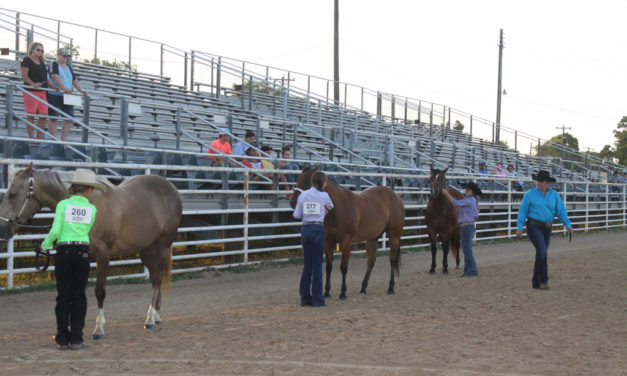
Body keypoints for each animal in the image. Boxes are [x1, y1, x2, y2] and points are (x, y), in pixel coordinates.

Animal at [0, 164, 183, 338]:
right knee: (154, 278)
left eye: (12, 194)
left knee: (158, 279)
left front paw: (99, 328)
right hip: (146, 250)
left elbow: (99, 292)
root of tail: (170, 188)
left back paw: (151, 318)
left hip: (162, 246)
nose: (3, 229)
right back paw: (156, 315)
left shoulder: (103, 256)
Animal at [290, 166, 408, 298]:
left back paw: (391, 287)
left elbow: (343, 267)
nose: (292, 202)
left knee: (392, 259)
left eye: (307, 182)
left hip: (394, 235)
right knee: (371, 261)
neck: (338, 208)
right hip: (372, 237)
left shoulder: (346, 241)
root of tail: (396, 196)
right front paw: (327, 292)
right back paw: (363, 288)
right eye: (297, 180)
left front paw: (342, 293)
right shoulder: (328, 241)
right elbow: (329, 266)